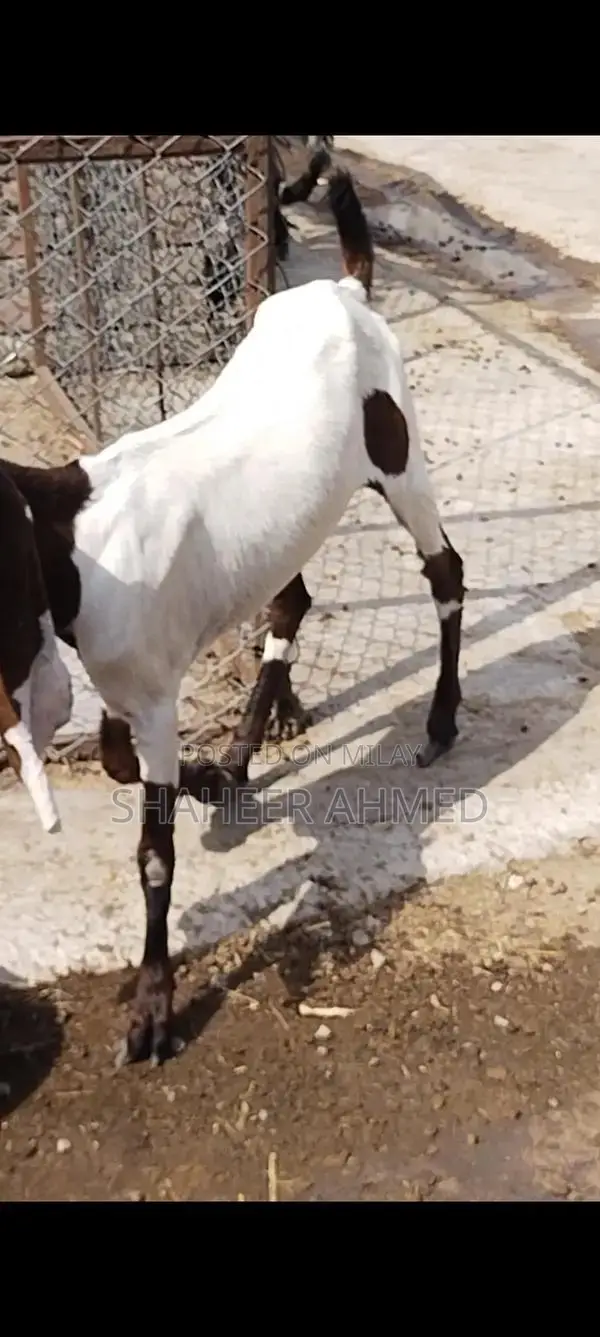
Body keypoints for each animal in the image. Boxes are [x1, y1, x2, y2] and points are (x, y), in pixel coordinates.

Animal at [0, 166, 464, 1069]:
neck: (74, 539)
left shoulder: (150, 689)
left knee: (445, 571)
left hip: (399, 453)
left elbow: (152, 852)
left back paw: (439, 721)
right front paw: (208, 776)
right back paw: (241, 761)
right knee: (291, 600)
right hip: (293, 525)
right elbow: (119, 756)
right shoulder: (131, 681)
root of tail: (347, 286)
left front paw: (152, 1009)